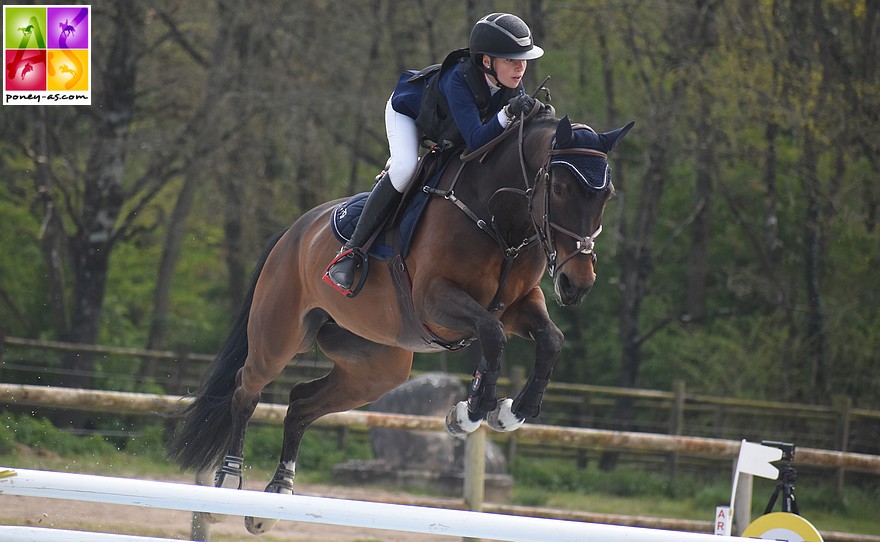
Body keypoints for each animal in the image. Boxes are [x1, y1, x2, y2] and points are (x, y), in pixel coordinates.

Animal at [167, 105, 632, 536]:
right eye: (560, 187)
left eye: (607, 194)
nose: (577, 283)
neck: (500, 218)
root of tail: (293, 232)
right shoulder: (434, 301)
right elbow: (493, 334)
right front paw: (472, 411)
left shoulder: (519, 304)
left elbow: (549, 340)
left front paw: (508, 412)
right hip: (279, 336)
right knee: (246, 390)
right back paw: (228, 482)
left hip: (377, 368)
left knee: (300, 403)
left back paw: (277, 495)